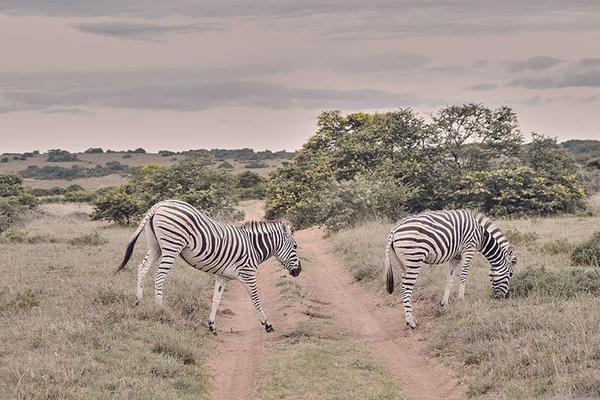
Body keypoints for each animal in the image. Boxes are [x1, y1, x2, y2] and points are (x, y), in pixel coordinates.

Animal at [113, 200, 300, 334]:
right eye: (296, 246)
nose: (299, 271)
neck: (253, 246)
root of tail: (160, 204)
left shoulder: (223, 277)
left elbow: (216, 299)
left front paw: (211, 325)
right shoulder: (248, 274)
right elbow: (256, 299)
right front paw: (267, 324)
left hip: (155, 246)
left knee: (142, 267)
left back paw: (138, 302)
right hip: (172, 245)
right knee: (159, 275)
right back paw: (160, 309)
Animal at [384, 209, 516, 328]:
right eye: (510, 275)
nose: (505, 297)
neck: (481, 235)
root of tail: (395, 228)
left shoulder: (455, 256)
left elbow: (450, 279)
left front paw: (445, 303)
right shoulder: (469, 249)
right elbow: (463, 275)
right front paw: (461, 299)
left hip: (403, 263)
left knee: (403, 287)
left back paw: (409, 319)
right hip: (414, 259)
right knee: (406, 289)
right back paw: (411, 321)